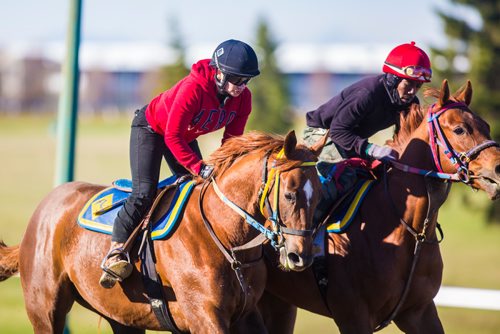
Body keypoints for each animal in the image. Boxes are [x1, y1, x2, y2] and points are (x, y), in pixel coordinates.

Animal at [0, 130, 326, 334]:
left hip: (123, 317)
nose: (300, 256)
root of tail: (44, 209)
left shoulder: (244, 316)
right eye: (290, 194)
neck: (226, 239)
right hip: (45, 311)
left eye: (320, 195)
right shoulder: (205, 317)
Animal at [258, 79, 500, 332]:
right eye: (460, 129)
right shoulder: (353, 315)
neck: (409, 230)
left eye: (486, 125)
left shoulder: (419, 311)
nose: (498, 168)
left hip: (279, 301)